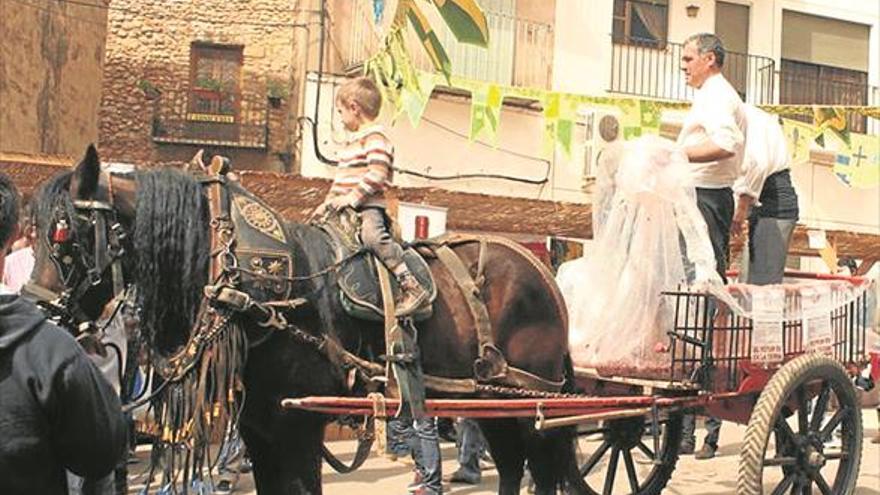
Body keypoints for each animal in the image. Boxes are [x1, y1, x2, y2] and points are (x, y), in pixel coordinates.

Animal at [29, 147, 592, 495]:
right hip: (493, 400)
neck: (245, 284)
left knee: (541, 469)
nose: (36, 310)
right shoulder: (260, 427)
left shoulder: (297, 424)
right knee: (513, 465)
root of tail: (542, 271)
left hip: (535, 397)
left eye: (65, 236)